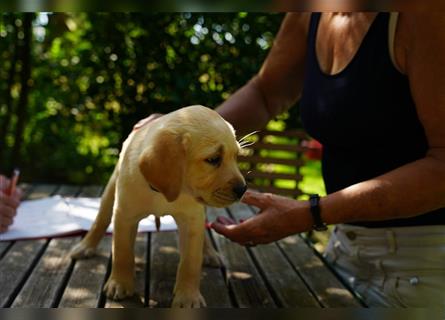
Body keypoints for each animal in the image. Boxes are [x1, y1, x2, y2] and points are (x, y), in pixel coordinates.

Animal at [68, 105, 246, 308]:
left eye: (236, 156)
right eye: (214, 159)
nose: (243, 189)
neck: (163, 192)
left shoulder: (192, 219)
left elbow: (191, 262)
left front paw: (188, 297)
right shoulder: (124, 216)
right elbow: (122, 252)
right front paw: (119, 283)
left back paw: (209, 253)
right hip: (111, 189)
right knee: (100, 220)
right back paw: (85, 246)